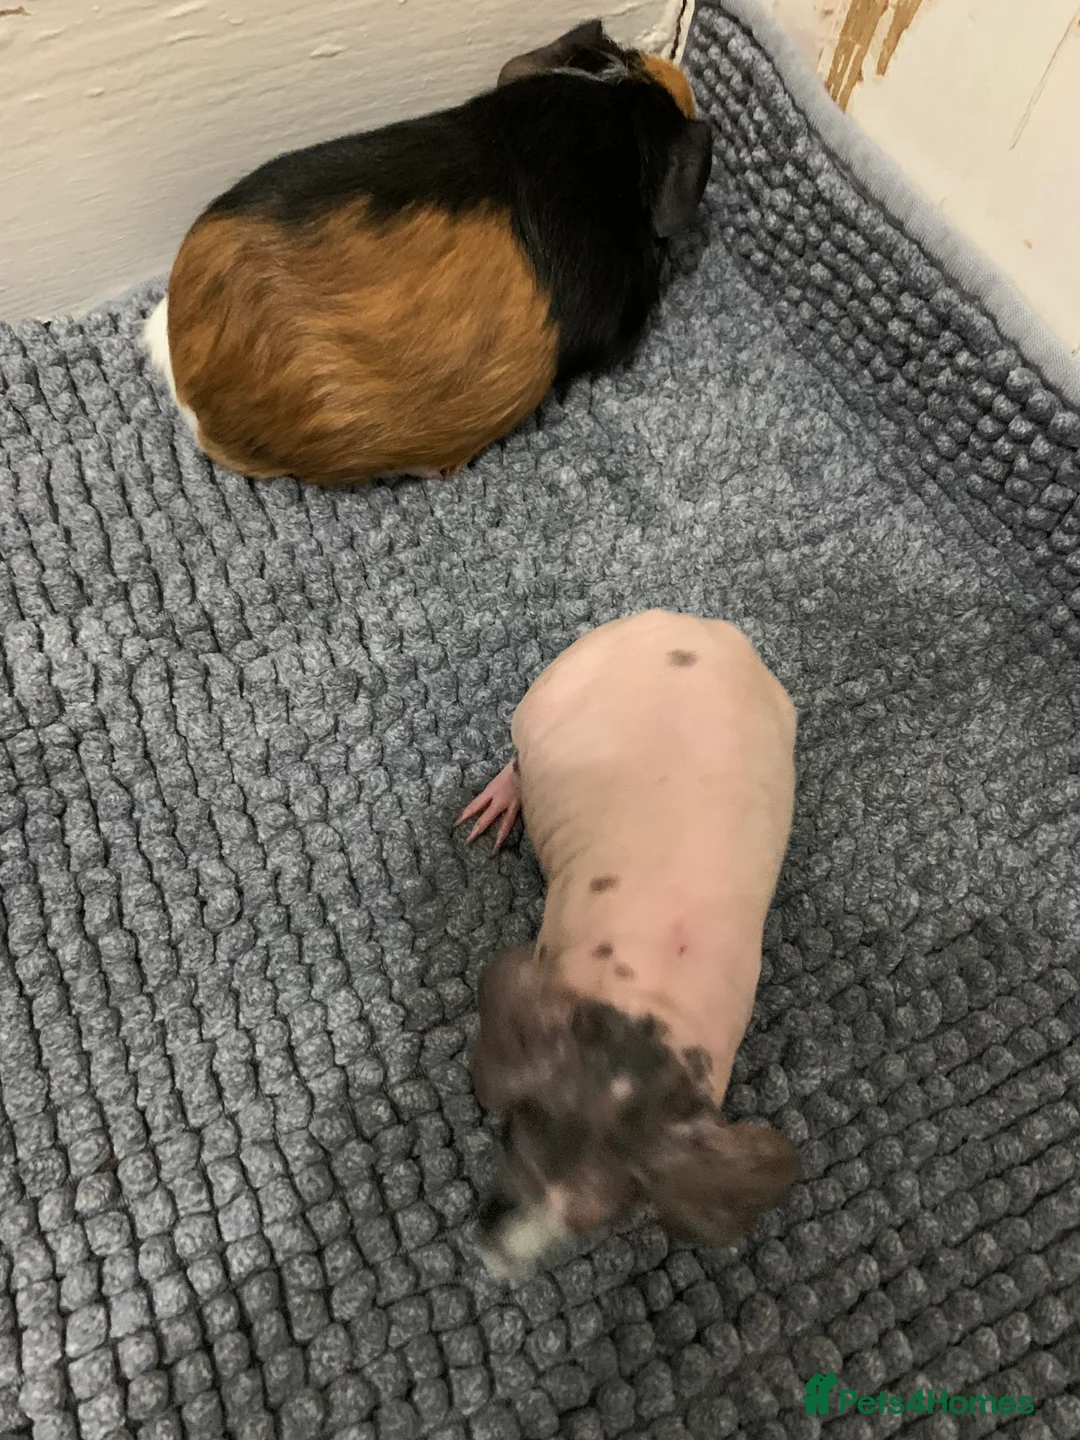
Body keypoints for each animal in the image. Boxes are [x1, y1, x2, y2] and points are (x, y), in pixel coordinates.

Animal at [457, 610, 799, 1280]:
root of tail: (690, 625)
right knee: (519, 757)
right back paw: (503, 797)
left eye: (591, 1222)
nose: (491, 1264)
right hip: (551, 690)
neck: (646, 1012)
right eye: (507, 1136)